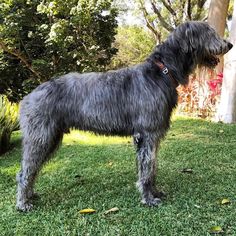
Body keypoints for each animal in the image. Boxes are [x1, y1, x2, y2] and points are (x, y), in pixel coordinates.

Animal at [16, 21, 232, 211]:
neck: (162, 72)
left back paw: (30, 195)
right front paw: (148, 198)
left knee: (31, 168)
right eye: (209, 32)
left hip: (50, 138)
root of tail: (26, 98)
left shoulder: (152, 136)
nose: (229, 45)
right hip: (41, 137)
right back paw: (23, 203)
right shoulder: (147, 134)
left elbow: (152, 167)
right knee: (25, 170)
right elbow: (147, 169)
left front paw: (155, 192)